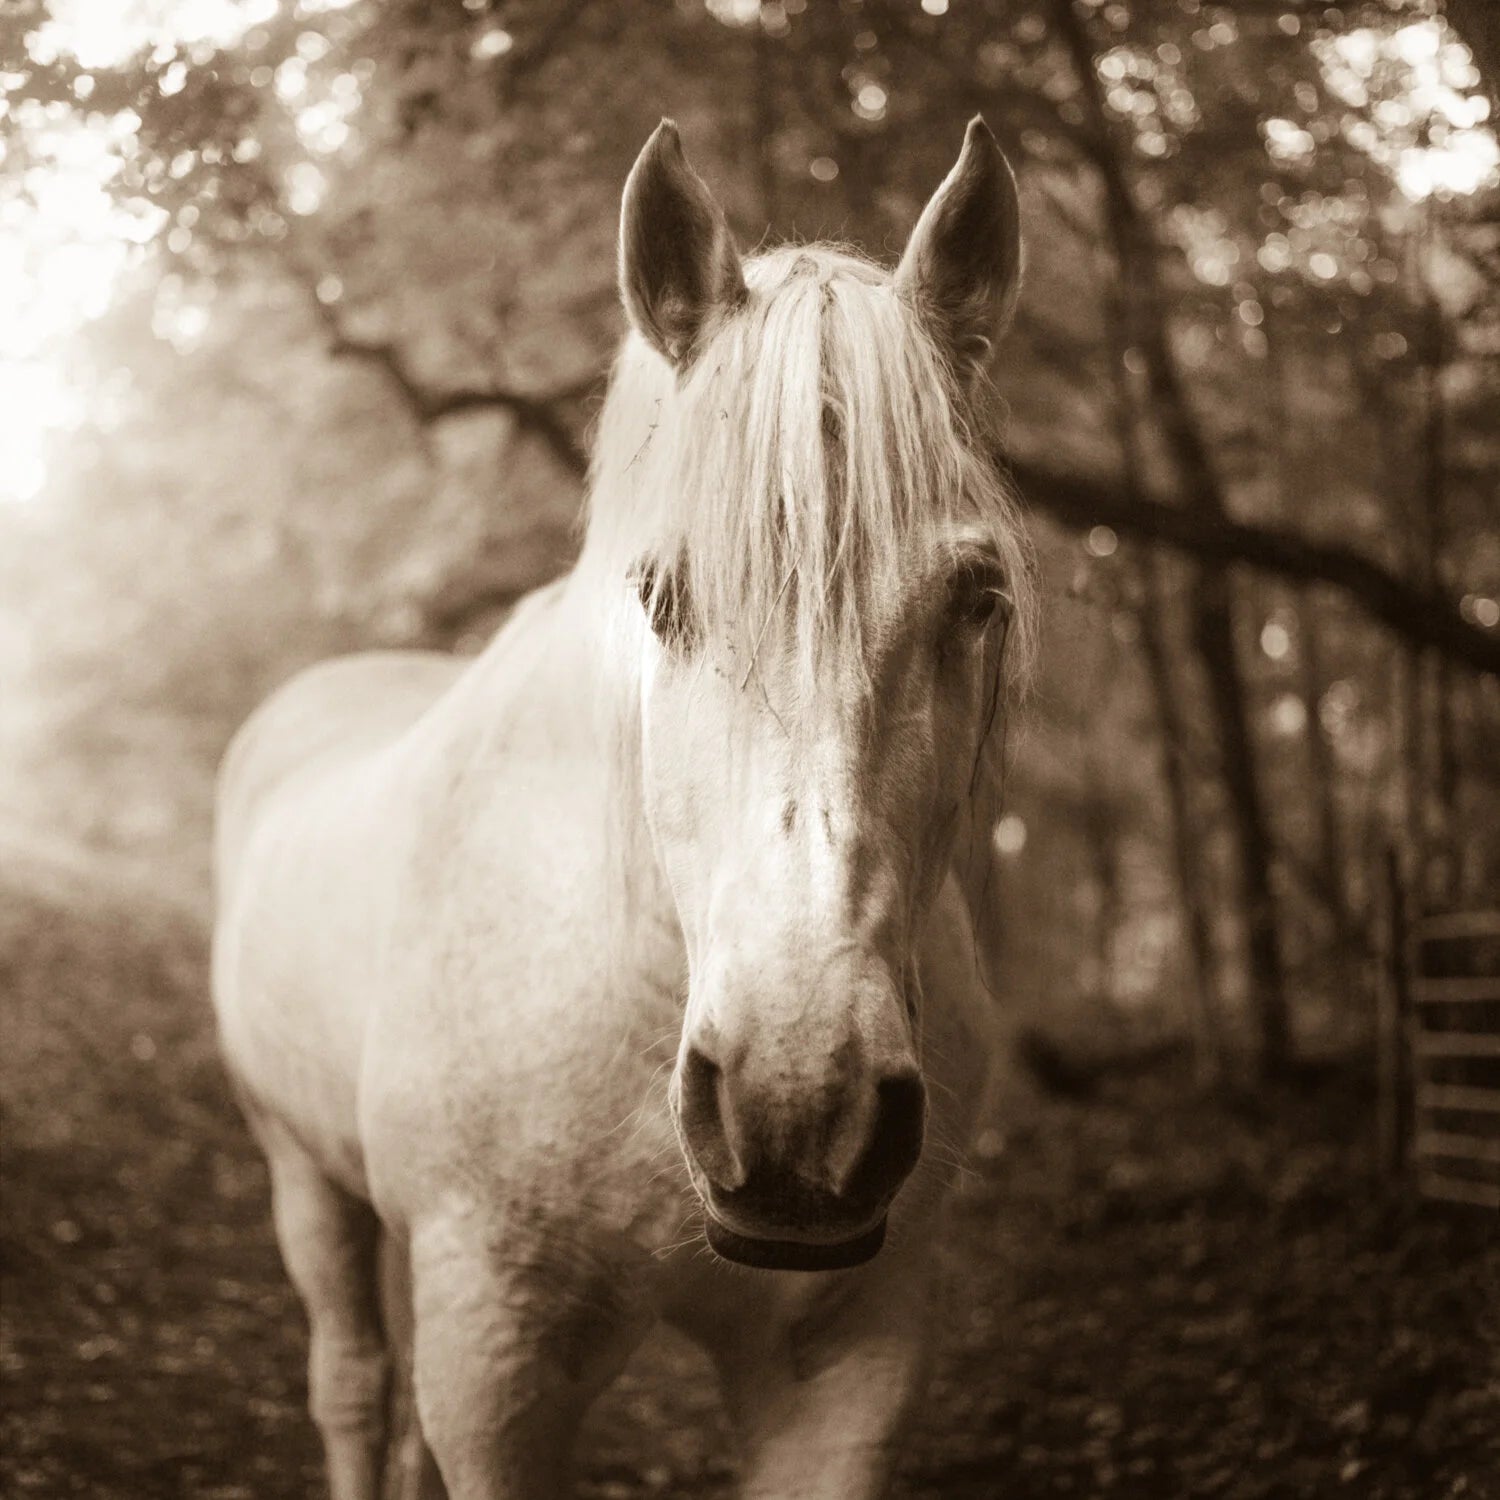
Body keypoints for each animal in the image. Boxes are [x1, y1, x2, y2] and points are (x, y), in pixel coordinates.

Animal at [211, 115, 1035, 1499]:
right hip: (301, 1178)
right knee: (354, 1386)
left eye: (978, 596)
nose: (797, 1111)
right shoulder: (497, 1355)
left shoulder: (849, 1357)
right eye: (661, 599)